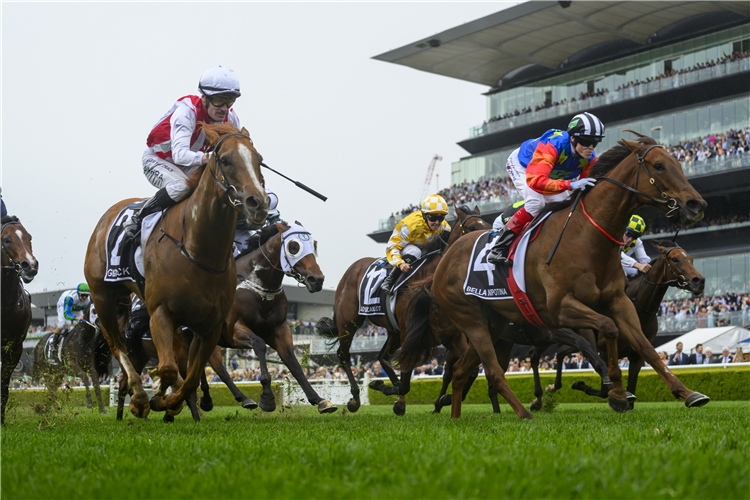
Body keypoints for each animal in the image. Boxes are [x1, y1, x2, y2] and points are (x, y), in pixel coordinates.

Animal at [85, 122, 268, 418]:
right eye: (225, 160)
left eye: (259, 160)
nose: (258, 203)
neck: (199, 252)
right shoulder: (160, 312)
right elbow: (170, 370)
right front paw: (155, 398)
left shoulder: (209, 325)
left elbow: (192, 376)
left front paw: (170, 400)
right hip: (102, 297)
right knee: (117, 345)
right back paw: (138, 396)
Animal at [316, 205, 488, 412]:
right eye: (471, 228)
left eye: (488, 225)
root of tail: (352, 269)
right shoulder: (411, 333)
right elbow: (406, 380)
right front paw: (386, 389)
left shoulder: (450, 336)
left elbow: (471, 370)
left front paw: (443, 399)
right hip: (349, 322)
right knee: (343, 354)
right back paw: (355, 398)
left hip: (393, 331)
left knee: (382, 357)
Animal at [428, 135, 712, 420]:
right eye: (659, 166)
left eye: (679, 163)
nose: (696, 204)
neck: (585, 236)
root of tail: (445, 258)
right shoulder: (560, 308)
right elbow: (607, 329)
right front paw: (616, 392)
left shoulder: (617, 302)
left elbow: (645, 347)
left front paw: (686, 393)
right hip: (471, 320)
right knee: (490, 372)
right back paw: (523, 413)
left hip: (494, 324)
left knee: (462, 371)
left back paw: (455, 415)